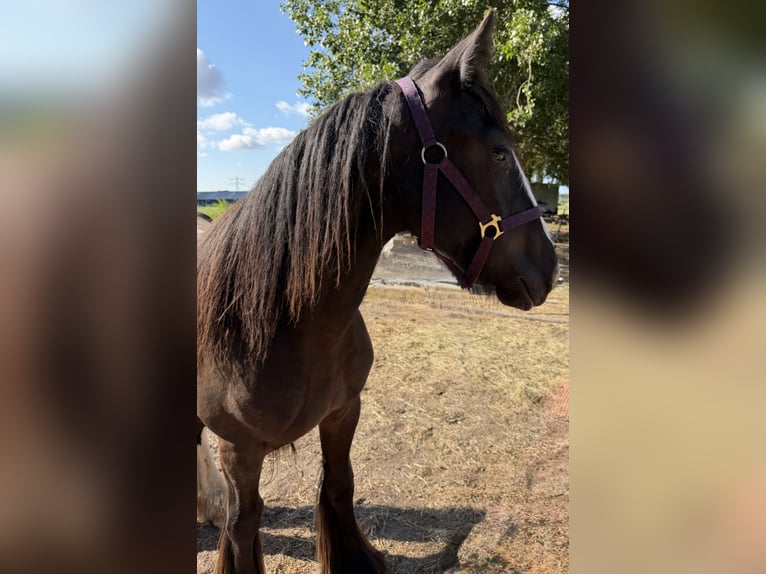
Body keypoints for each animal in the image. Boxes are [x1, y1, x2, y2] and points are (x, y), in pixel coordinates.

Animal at [197, 10, 558, 573]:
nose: (551, 266)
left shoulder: (345, 410)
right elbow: (243, 528)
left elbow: (340, 487)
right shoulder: (239, 450)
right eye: (500, 154)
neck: (283, 324)